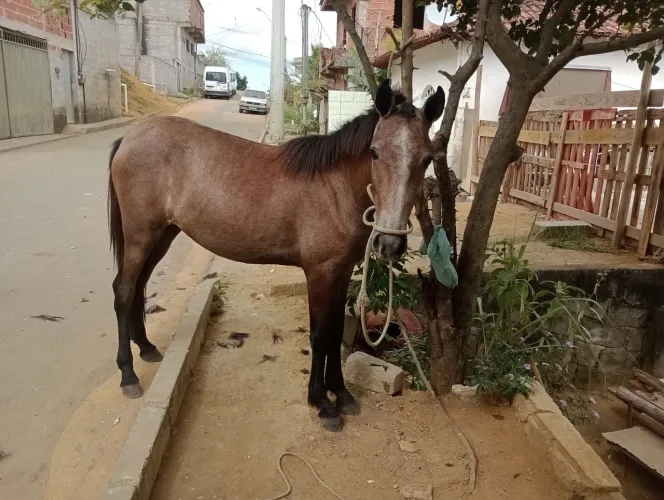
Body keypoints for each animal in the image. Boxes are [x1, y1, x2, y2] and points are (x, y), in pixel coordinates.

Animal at [107, 79, 445, 430]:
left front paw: (341, 393)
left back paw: (146, 348)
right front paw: (322, 402)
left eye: (426, 159)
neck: (334, 187)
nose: (390, 244)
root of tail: (129, 137)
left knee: (138, 287)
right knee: (123, 291)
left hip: (162, 235)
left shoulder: (340, 272)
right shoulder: (319, 273)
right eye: (375, 152)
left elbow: (336, 332)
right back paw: (128, 375)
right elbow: (320, 335)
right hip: (141, 236)